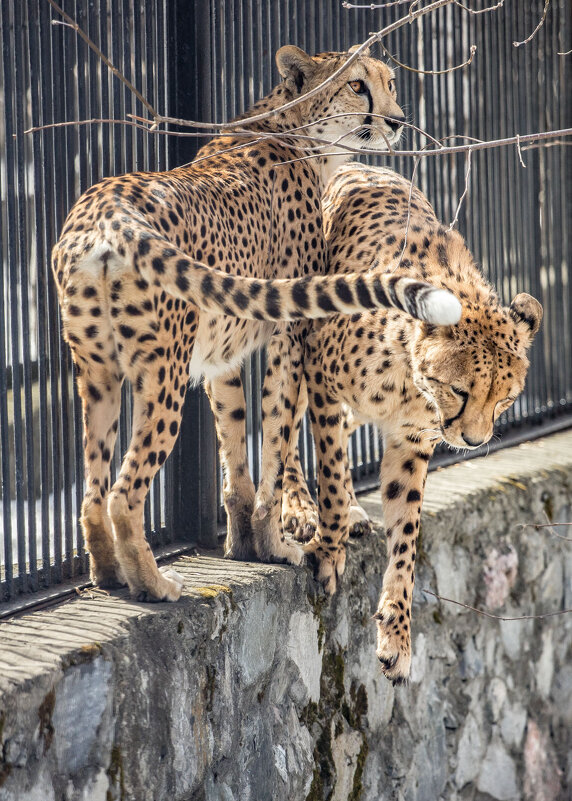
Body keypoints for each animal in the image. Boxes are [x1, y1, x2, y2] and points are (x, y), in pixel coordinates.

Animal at [53, 45, 462, 600]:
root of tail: (105, 202)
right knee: (124, 491)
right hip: (162, 374)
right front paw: (276, 542)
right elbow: (277, 437)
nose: (397, 120)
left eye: (390, 82)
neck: (298, 134)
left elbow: (237, 440)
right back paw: (154, 582)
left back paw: (110, 574)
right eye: (356, 85)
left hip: (97, 373)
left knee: (93, 490)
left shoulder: (221, 355)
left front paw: (246, 541)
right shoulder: (292, 333)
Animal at [284, 162, 544, 680]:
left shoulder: (412, 441)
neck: (409, 375)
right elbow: (328, 479)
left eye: (504, 400)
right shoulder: (321, 378)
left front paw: (397, 633)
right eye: (461, 391)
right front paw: (327, 550)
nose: (473, 440)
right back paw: (299, 507)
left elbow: (406, 533)